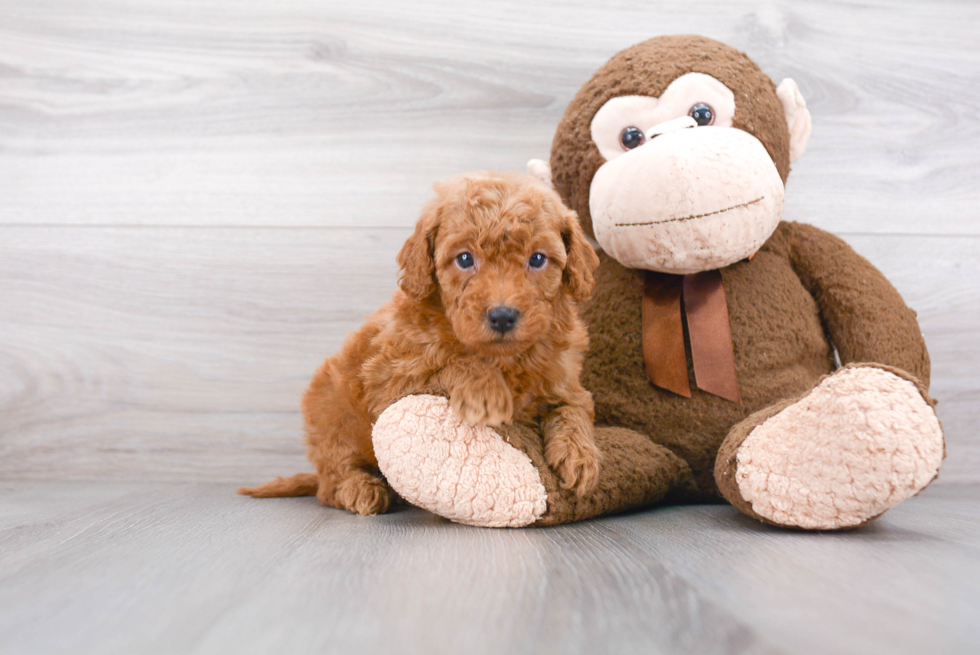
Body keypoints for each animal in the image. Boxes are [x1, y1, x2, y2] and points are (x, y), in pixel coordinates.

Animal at [241, 172, 600, 516]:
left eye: (537, 259)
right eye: (465, 259)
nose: (502, 316)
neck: (502, 358)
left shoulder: (565, 380)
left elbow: (573, 409)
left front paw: (580, 456)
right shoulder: (391, 376)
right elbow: (449, 362)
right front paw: (485, 392)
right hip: (332, 415)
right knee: (332, 479)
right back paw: (361, 489)